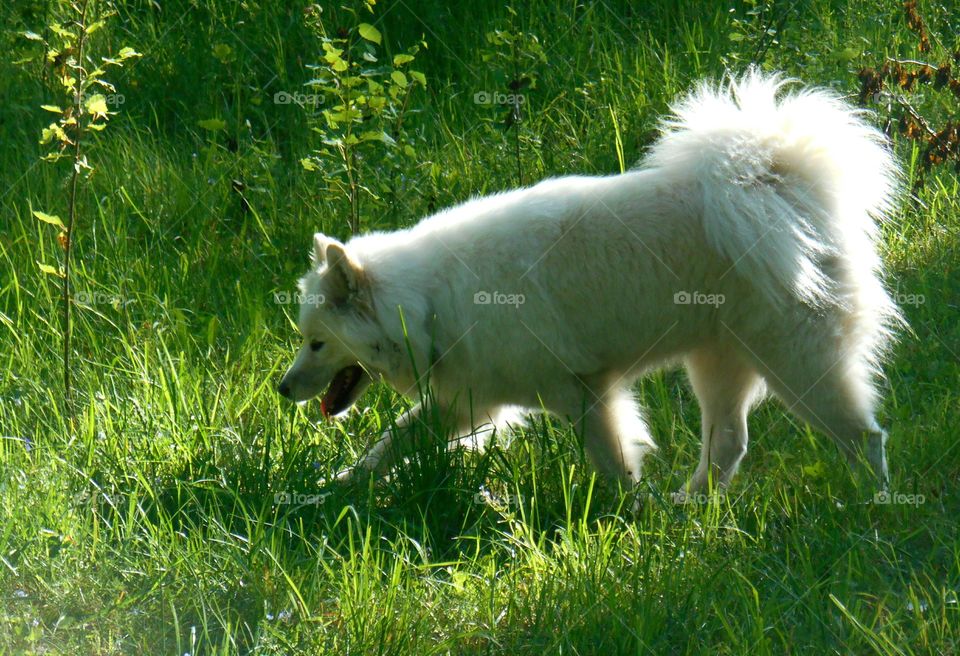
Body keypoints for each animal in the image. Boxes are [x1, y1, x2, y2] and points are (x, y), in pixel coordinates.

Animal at [278, 72, 900, 492]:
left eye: (316, 342)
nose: (282, 390)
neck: (429, 304)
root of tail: (778, 178)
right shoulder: (467, 403)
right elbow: (385, 447)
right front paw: (325, 493)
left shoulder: (581, 394)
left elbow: (614, 463)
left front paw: (633, 520)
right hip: (720, 363)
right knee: (729, 443)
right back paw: (691, 511)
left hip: (799, 365)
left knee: (864, 438)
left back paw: (871, 510)